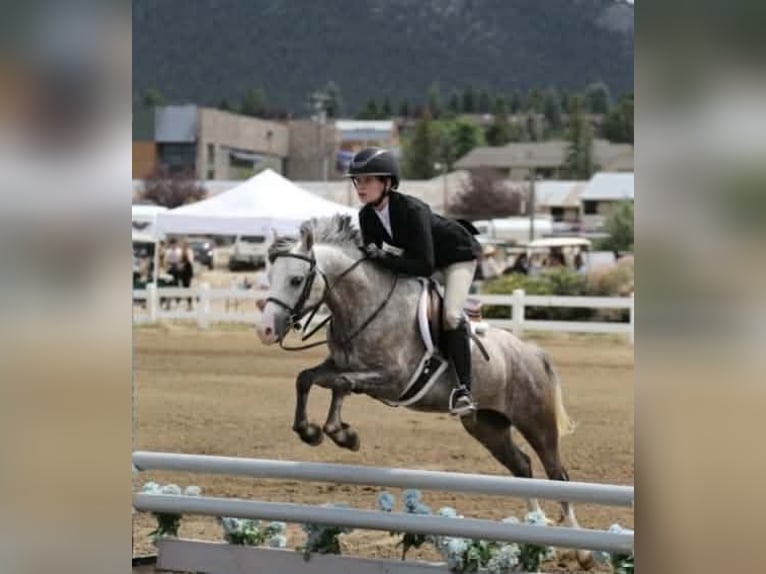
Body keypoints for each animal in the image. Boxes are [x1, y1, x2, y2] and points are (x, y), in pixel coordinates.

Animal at [255, 215, 591, 566]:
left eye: (296, 280)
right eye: (270, 276)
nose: (265, 331)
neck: (365, 305)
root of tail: (532, 353)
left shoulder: (393, 380)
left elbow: (342, 385)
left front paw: (342, 434)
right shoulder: (341, 366)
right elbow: (309, 379)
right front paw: (316, 431)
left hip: (535, 421)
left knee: (557, 475)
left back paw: (582, 552)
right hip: (487, 426)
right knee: (523, 467)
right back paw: (538, 533)